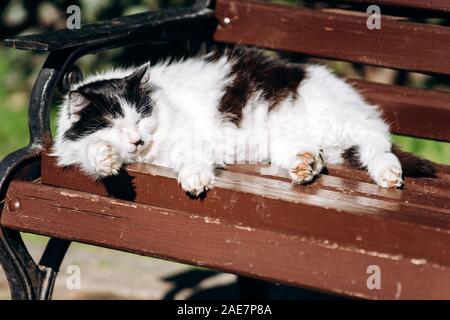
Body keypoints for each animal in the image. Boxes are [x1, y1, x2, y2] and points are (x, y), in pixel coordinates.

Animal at [52, 47, 436, 198]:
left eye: (140, 117)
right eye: (116, 125)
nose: (135, 140)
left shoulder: (188, 140)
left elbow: (192, 161)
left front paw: (195, 180)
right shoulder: (74, 147)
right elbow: (90, 152)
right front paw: (106, 158)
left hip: (339, 123)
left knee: (377, 145)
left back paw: (389, 175)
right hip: (292, 142)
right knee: (315, 154)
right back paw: (304, 167)